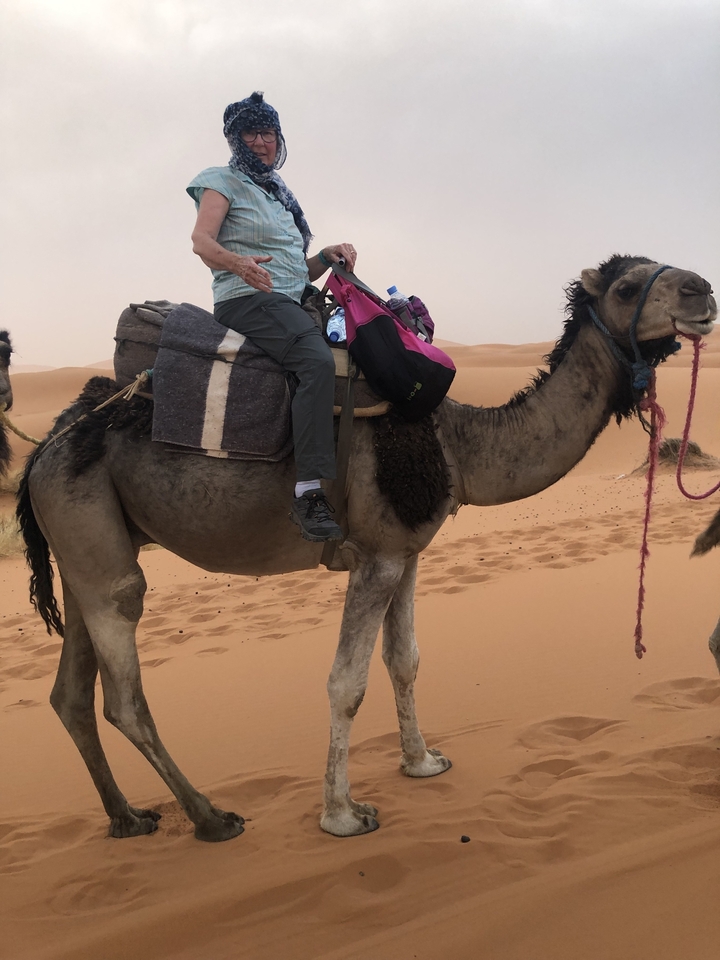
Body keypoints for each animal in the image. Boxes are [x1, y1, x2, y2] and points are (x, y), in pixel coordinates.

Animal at [13, 256, 716, 842]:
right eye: (627, 286)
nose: (702, 291)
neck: (457, 443)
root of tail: (42, 451)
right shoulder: (375, 558)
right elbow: (345, 683)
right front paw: (343, 815)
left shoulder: (407, 552)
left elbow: (404, 661)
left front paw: (424, 761)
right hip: (95, 540)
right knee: (123, 690)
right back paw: (211, 818)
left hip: (84, 544)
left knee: (70, 693)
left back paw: (127, 817)